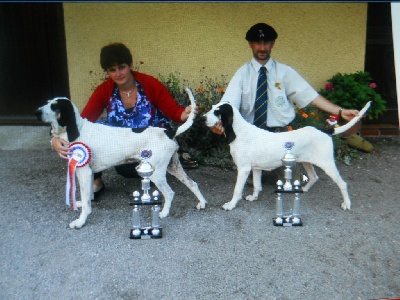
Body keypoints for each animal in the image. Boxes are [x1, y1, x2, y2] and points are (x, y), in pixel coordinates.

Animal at [35, 88, 208, 229]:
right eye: (48, 102)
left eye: (55, 106)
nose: (36, 112)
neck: (78, 130)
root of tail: (169, 131)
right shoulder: (88, 172)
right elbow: (88, 196)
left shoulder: (83, 172)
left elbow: (85, 201)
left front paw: (80, 221)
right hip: (174, 168)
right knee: (193, 184)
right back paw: (202, 203)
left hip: (156, 173)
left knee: (170, 193)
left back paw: (164, 213)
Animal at [203, 102, 372, 212]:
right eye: (212, 108)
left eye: (217, 111)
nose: (203, 118)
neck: (239, 131)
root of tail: (325, 131)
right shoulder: (255, 169)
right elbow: (257, 186)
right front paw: (253, 197)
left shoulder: (243, 169)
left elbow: (237, 190)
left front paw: (231, 204)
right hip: (307, 162)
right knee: (314, 177)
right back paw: (303, 189)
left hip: (327, 164)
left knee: (342, 184)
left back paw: (347, 204)